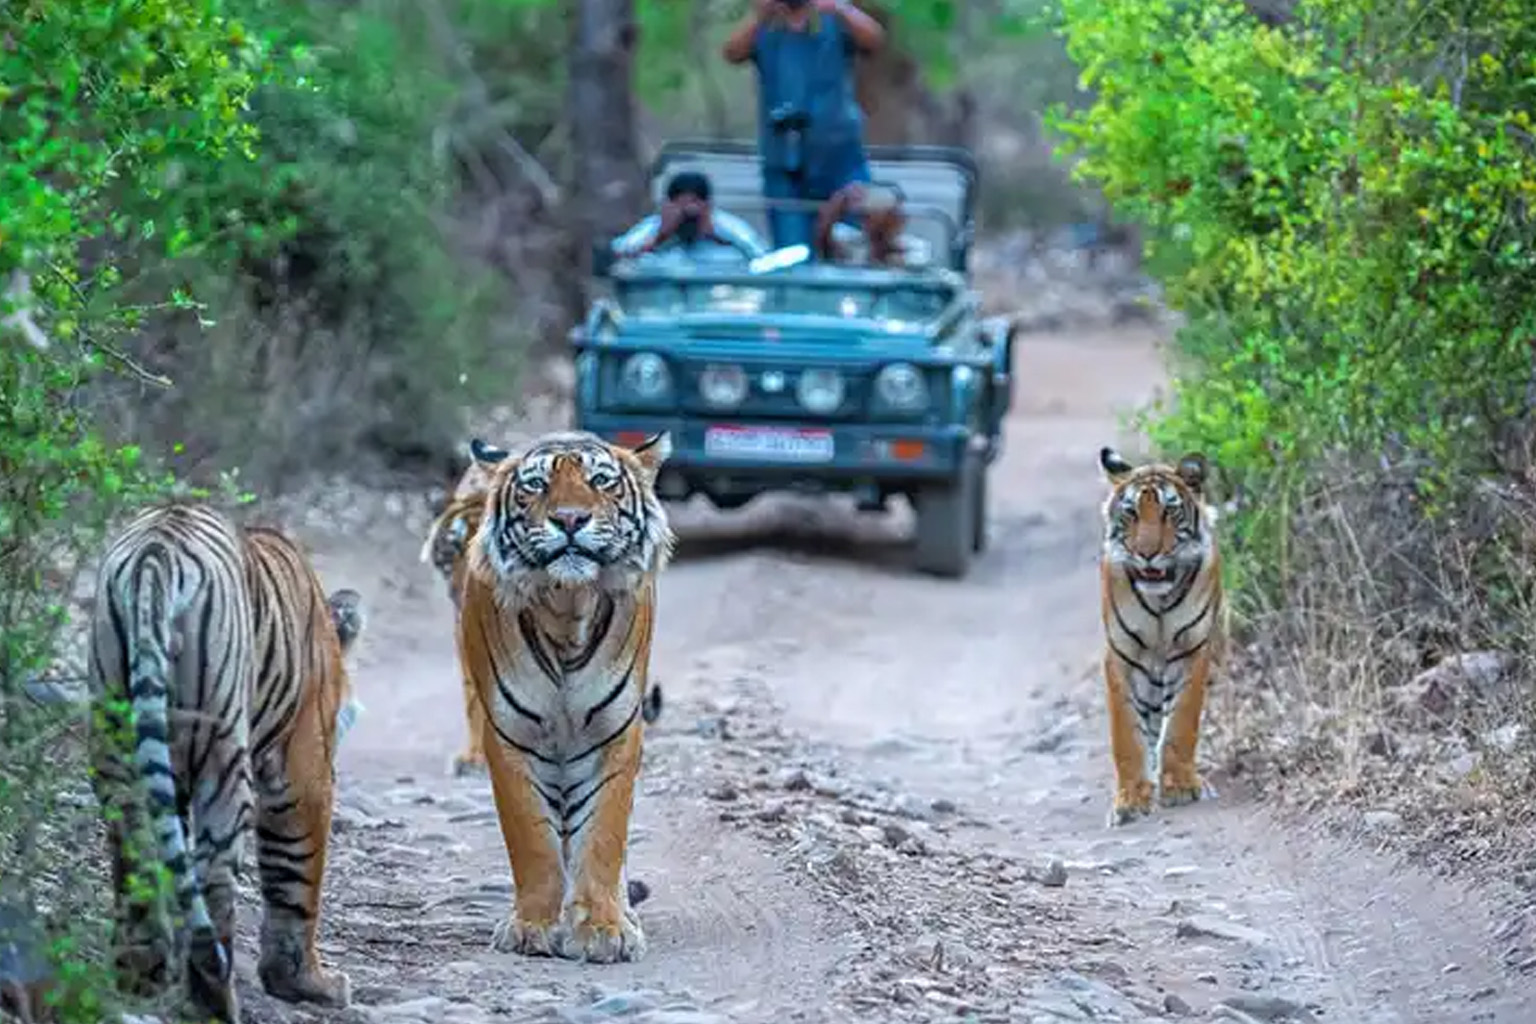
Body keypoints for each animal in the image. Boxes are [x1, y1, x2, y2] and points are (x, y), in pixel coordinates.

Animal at [86, 503, 365, 1022]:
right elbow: (297, 879)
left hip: (116, 737)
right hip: (223, 756)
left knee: (136, 850)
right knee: (213, 875)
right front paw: (306, 982)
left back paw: (141, 976)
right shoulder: (303, 771)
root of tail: (156, 551)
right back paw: (214, 998)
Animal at [1097, 447, 1226, 827]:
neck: (1159, 602)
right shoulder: (1120, 657)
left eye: (1170, 511)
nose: (1147, 553)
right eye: (1131, 513)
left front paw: (1180, 787)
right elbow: (1126, 735)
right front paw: (1129, 800)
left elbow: (1181, 723)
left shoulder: (1192, 652)